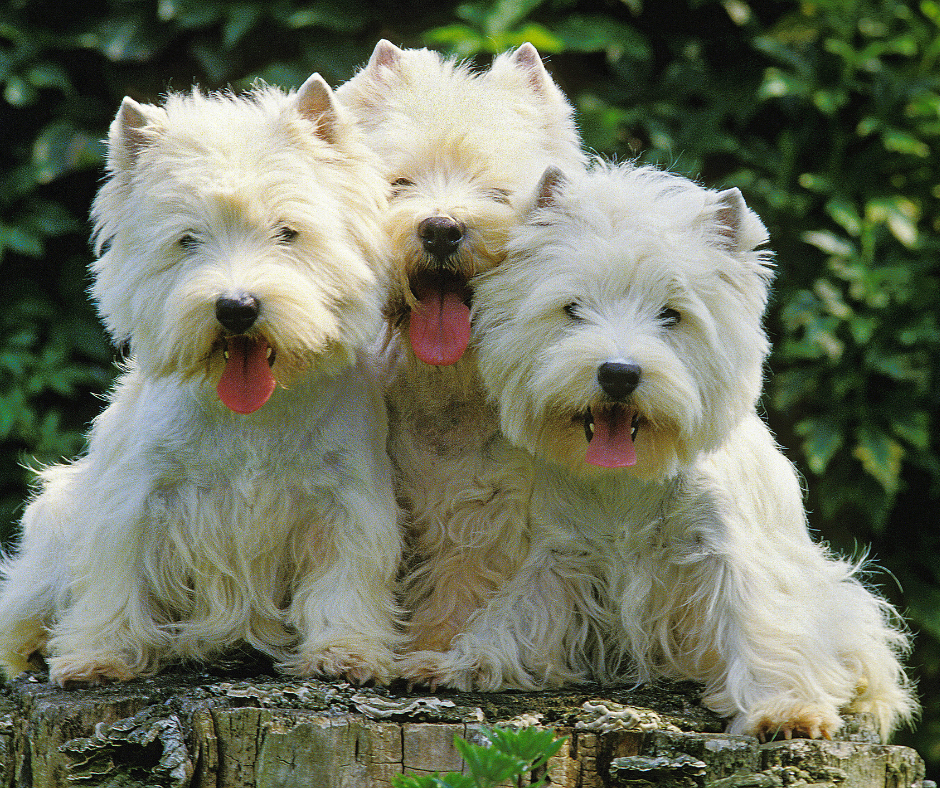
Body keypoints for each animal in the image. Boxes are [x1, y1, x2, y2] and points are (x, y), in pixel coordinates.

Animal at [0, 77, 402, 688]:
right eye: (187, 240)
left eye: (288, 232)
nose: (236, 308)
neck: (254, 413)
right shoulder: (134, 499)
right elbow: (114, 578)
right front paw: (98, 655)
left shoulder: (348, 502)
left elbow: (345, 580)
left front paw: (345, 652)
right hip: (52, 531)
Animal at [338, 41, 588, 660]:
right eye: (399, 182)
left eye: (498, 193)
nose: (441, 229)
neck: (448, 387)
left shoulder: (496, 499)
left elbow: (467, 572)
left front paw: (437, 646)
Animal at [408, 162, 916, 744]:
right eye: (572, 309)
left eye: (671, 315)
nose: (618, 374)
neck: (627, 481)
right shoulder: (561, 557)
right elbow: (515, 615)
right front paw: (452, 663)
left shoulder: (727, 554)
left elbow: (759, 625)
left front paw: (786, 709)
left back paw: (870, 701)